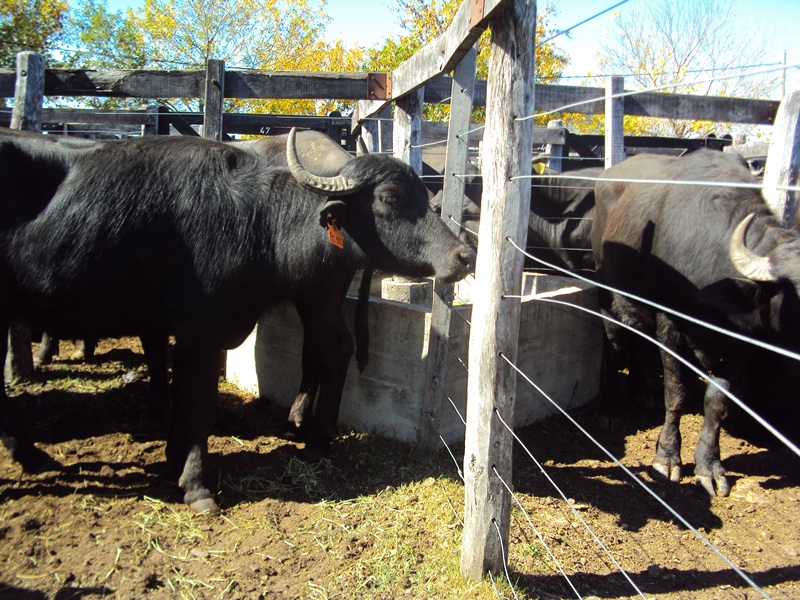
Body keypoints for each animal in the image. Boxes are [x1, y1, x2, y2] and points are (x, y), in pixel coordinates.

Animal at [0, 127, 475, 514]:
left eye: (425, 195)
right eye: (391, 198)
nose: (464, 255)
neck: (253, 219)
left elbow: (188, 399)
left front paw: (181, 465)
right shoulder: (198, 332)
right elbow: (195, 404)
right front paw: (195, 485)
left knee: (331, 347)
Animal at [592, 149, 800, 497]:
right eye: (797, 297)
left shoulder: (744, 341)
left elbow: (717, 400)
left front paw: (710, 466)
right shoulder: (670, 322)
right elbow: (676, 391)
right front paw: (667, 457)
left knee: (638, 341)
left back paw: (641, 392)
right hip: (608, 293)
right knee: (615, 344)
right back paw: (609, 410)